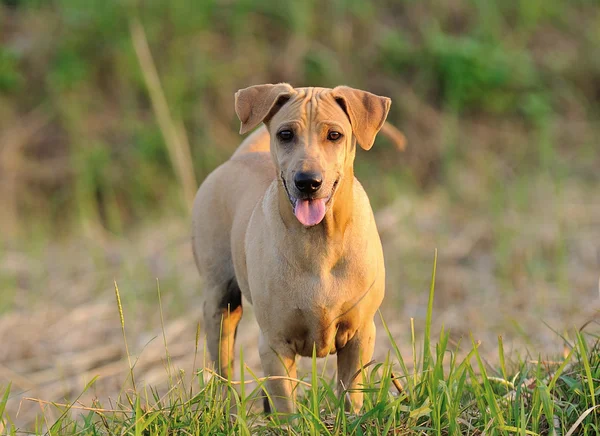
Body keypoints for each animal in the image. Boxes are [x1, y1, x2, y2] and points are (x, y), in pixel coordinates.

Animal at [190, 83, 392, 414]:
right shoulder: (275, 343)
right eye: (285, 134)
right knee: (223, 366)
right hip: (220, 303)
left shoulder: (360, 334)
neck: (319, 241)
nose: (308, 182)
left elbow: (351, 394)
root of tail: (237, 159)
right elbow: (287, 408)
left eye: (334, 135)